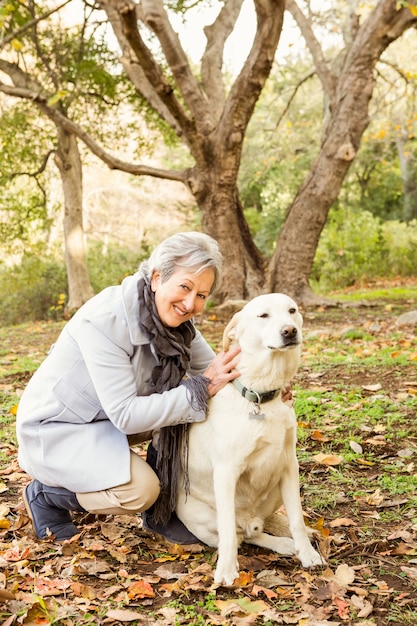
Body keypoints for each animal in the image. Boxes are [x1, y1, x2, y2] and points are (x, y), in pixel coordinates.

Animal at [176, 292, 324, 584]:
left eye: (292, 310)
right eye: (263, 315)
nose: (290, 331)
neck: (261, 397)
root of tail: (249, 518)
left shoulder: (289, 465)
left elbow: (297, 520)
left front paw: (307, 553)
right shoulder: (226, 472)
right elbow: (228, 533)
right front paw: (226, 569)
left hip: (276, 490)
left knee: (256, 530)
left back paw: (286, 540)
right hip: (199, 515)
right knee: (241, 535)